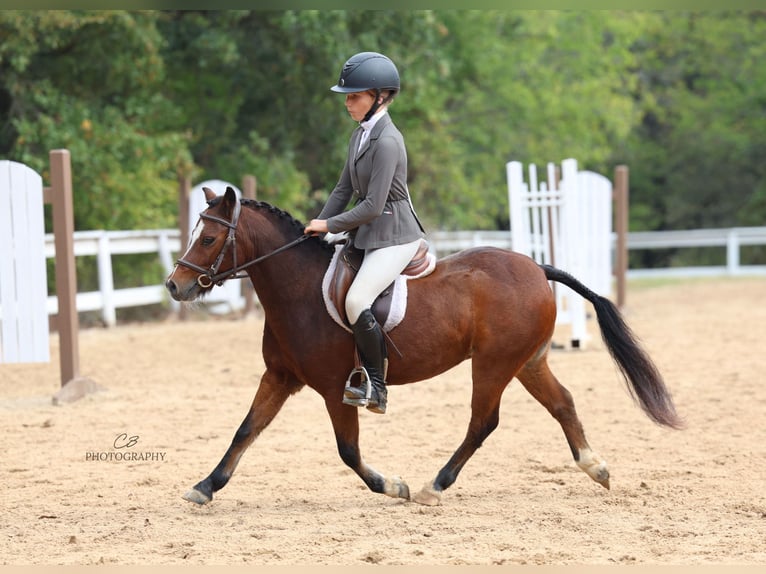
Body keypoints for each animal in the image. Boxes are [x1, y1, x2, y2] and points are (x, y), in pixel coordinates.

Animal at [165, 186, 683, 506]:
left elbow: (347, 451)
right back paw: (596, 468)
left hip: (493, 365)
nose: (174, 286)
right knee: (563, 403)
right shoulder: (280, 377)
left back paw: (435, 486)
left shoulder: (334, 388)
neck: (298, 290)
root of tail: (537, 268)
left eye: (208, 238)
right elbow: (245, 430)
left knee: (483, 423)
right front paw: (205, 486)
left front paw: (393, 485)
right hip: (527, 362)